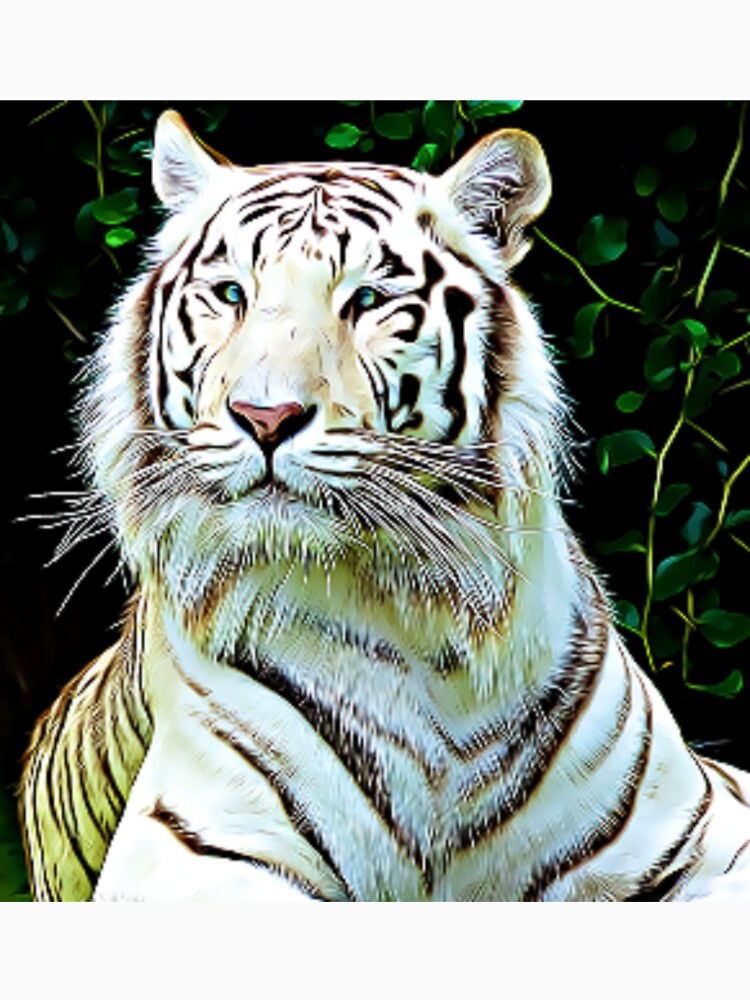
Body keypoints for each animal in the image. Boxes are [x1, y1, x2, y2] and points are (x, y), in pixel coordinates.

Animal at [19, 109, 750, 902]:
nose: (264, 417)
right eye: (232, 294)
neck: (421, 625)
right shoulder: (192, 848)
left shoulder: (699, 823)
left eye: (367, 301)